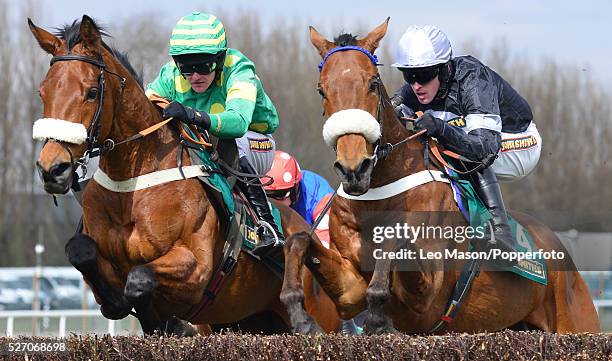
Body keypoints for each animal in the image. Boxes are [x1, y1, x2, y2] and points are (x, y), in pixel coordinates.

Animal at [29, 14, 340, 334]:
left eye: (91, 92)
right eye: (43, 91)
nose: (52, 168)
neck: (132, 185)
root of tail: (304, 226)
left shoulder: (196, 268)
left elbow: (139, 278)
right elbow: (82, 252)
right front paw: (130, 307)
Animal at [280, 19, 600, 334]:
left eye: (372, 83)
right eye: (322, 90)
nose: (353, 169)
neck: (378, 192)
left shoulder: (428, 293)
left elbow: (394, 242)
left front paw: (377, 318)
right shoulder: (350, 291)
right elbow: (299, 240)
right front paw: (298, 312)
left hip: (576, 321)